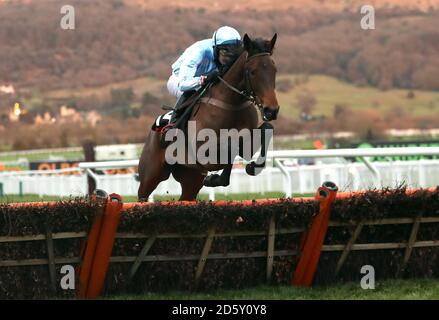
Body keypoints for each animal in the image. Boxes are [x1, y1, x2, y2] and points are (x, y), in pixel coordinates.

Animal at [139, 34, 280, 200]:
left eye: (274, 69)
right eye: (252, 71)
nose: (271, 110)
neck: (231, 104)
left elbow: (265, 129)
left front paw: (253, 166)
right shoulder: (203, 151)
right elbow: (232, 145)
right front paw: (214, 179)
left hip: (191, 178)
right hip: (151, 175)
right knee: (143, 196)